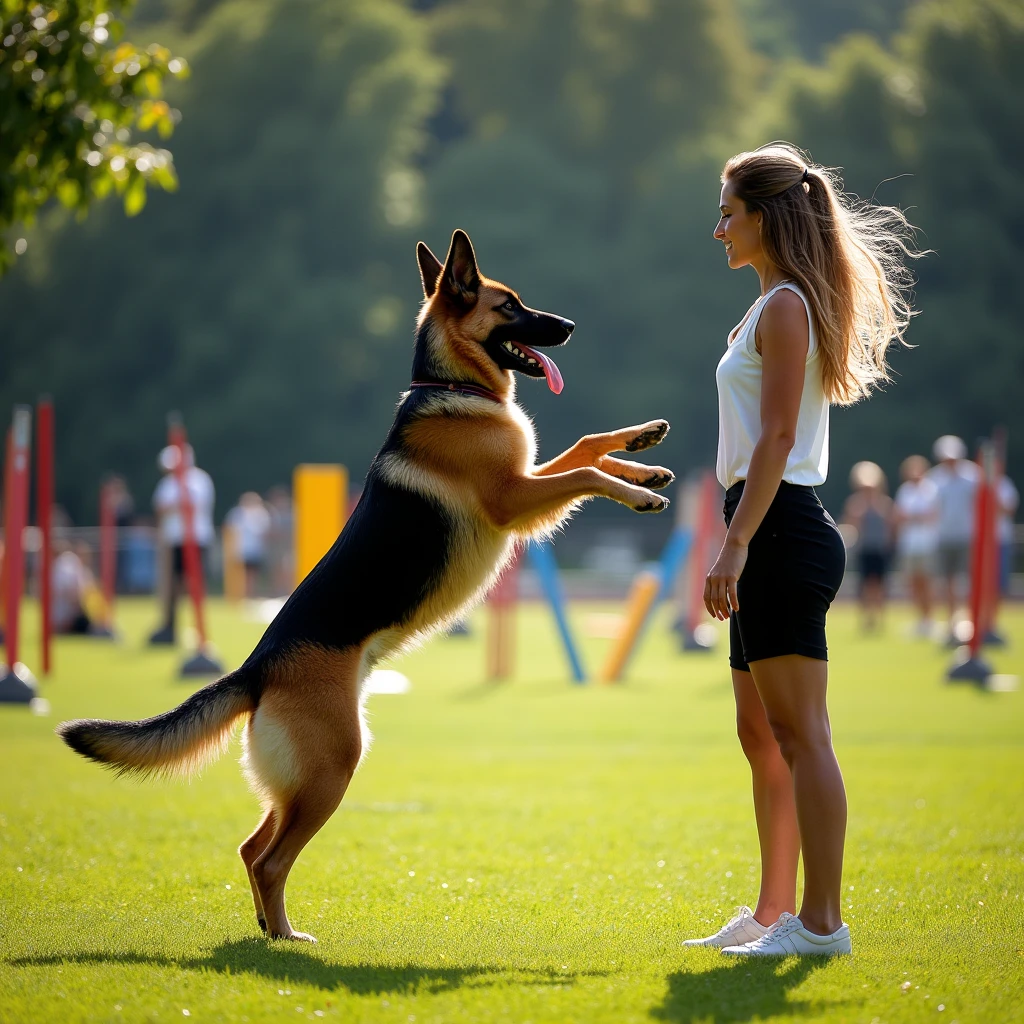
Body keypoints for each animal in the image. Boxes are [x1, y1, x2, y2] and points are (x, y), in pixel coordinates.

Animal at [59, 230, 675, 942]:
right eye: (510, 306)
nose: (571, 326)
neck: (451, 385)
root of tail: (256, 668)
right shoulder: (513, 496)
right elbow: (584, 469)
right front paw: (638, 491)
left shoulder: (526, 479)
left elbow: (588, 446)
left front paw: (647, 453)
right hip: (333, 768)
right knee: (270, 859)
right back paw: (288, 938)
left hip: (302, 779)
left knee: (250, 847)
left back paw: (269, 930)